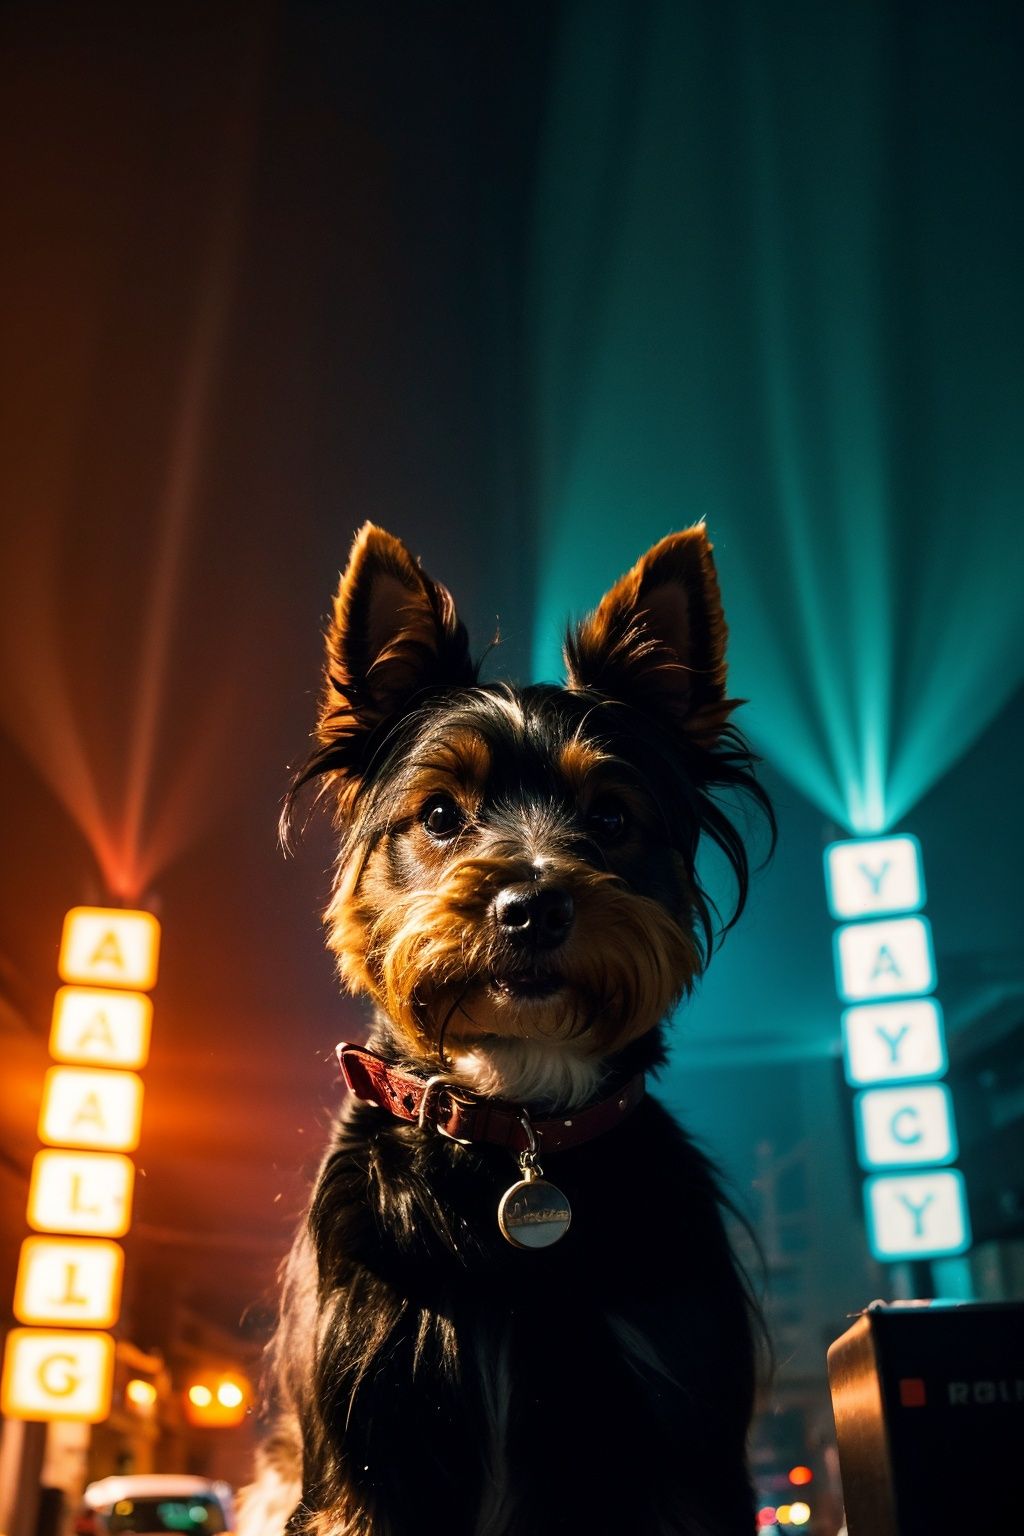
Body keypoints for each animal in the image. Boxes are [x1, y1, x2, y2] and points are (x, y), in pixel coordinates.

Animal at [241, 522, 767, 1529]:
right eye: (441, 814)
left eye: (611, 816)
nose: (532, 907)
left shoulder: (680, 1441)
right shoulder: (363, 1454)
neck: (515, 1117)